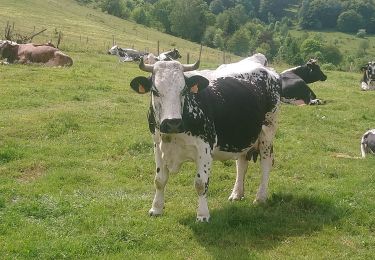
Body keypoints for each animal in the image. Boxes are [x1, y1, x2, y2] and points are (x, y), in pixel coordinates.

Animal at [131, 52, 280, 221]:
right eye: (155, 91)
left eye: (183, 90)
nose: (172, 122)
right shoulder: (158, 145)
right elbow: (159, 180)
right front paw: (156, 209)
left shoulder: (205, 147)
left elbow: (201, 183)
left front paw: (202, 215)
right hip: (242, 136)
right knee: (241, 163)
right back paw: (236, 194)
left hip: (267, 132)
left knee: (266, 163)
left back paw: (260, 197)